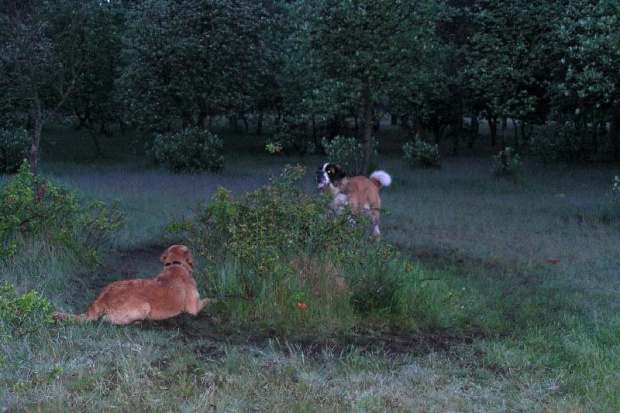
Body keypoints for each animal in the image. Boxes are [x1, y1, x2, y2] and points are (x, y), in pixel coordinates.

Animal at [54, 243, 218, 324]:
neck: (175, 266)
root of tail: (100, 300)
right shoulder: (194, 308)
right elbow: (208, 300)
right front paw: (216, 299)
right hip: (143, 307)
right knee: (106, 320)